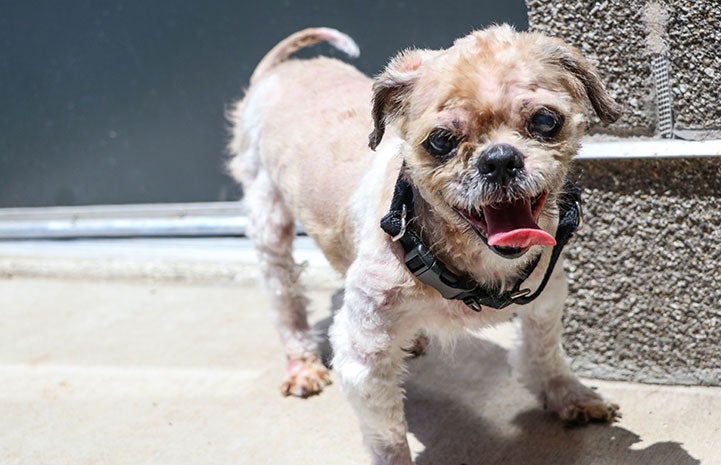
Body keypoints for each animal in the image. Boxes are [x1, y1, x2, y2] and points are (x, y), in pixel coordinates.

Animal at [228, 26, 620, 464]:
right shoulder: (363, 356)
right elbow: (386, 433)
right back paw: (302, 364)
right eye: (441, 141)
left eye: (545, 121)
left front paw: (567, 394)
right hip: (268, 217)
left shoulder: (545, 296)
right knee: (284, 296)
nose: (500, 159)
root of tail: (279, 70)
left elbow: (543, 352)